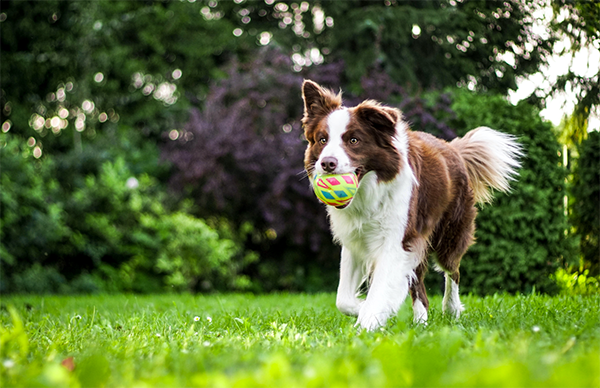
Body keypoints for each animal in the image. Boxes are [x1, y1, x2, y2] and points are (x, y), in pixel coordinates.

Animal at [302, 80, 524, 332]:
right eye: (322, 140)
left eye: (353, 140)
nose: (327, 163)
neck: (369, 192)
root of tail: (453, 149)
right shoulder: (356, 240)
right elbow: (343, 299)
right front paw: (366, 310)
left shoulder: (397, 240)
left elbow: (380, 289)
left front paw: (368, 323)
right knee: (420, 287)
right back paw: (421, 322)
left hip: (449, 234)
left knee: (453, 271)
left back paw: (451, 309)